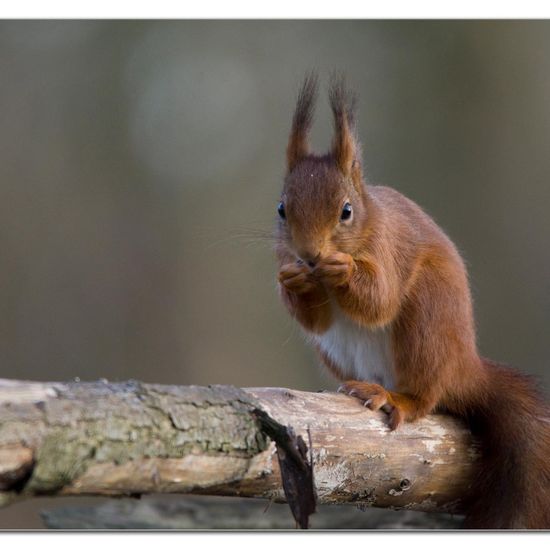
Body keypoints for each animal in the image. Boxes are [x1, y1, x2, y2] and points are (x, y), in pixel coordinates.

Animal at [276, 74, 550, 532]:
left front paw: (342, 269)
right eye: (281, 208)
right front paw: (293, 282)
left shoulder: (388, 248)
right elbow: (315, 319)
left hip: (426, 321)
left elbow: (380, 300)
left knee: (426, 397)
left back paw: (395, 397)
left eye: (346, 211)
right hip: (338, 353)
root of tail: (465, 368)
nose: (311, 256)